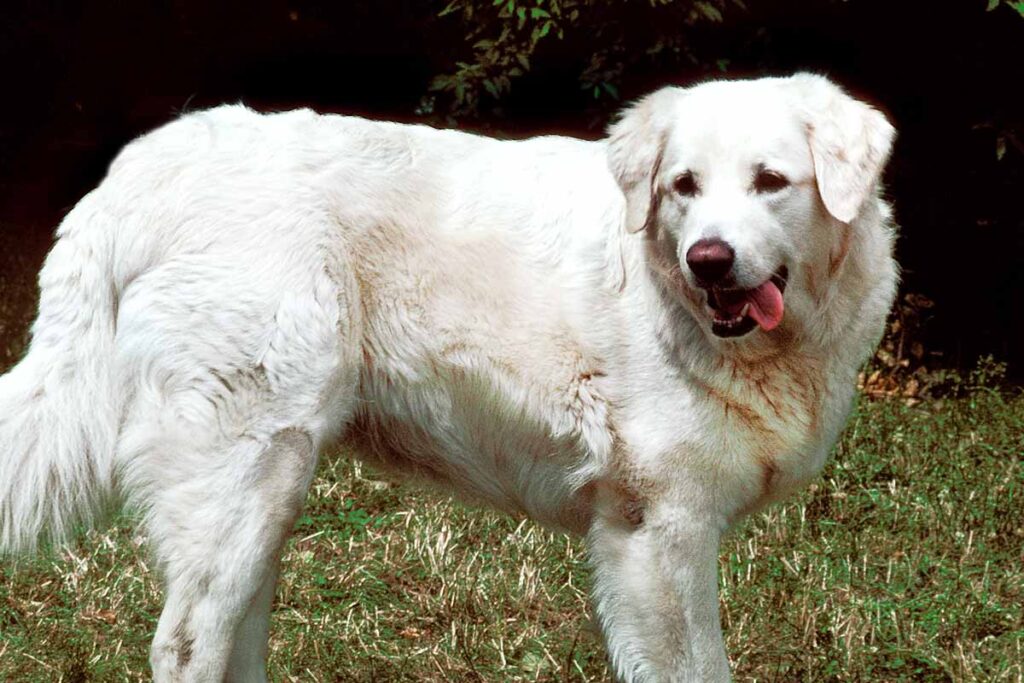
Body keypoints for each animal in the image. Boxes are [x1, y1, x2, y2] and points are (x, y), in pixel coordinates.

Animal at [0, 72, 897, 679]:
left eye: (771, 182)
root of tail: (136, 175)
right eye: (683, 187)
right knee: (187, 645)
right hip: (246, 464)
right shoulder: (663, 528)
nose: (707, 259)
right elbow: (698, 667)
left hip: (269, 483)